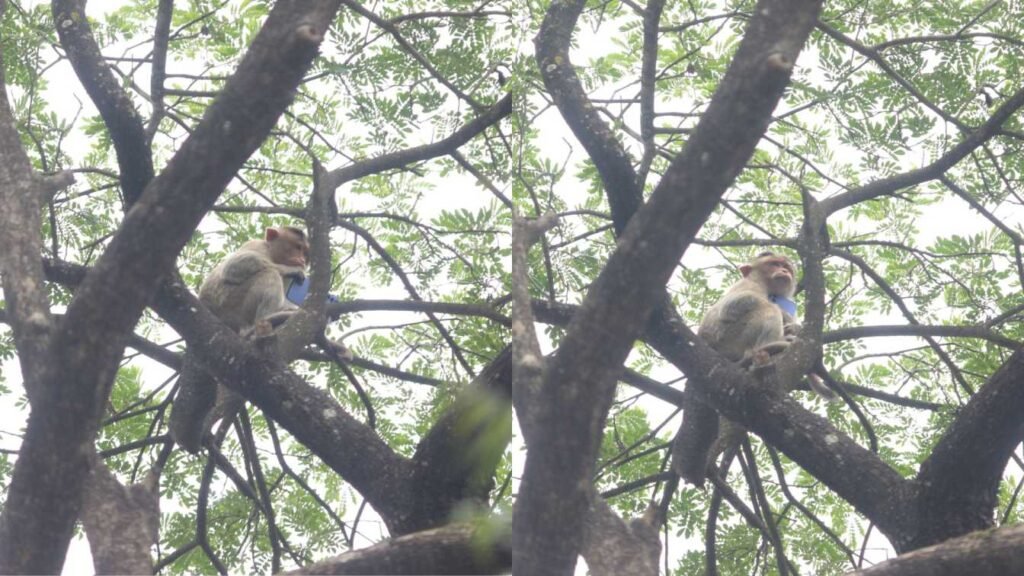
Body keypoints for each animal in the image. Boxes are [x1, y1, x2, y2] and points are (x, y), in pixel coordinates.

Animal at [170, 226, 351, 453]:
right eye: (297, 247)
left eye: (305, 252)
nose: (301, 259)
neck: (272, 252)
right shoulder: (256, 245)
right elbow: (235, 267)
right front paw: (290, 269)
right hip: (230, 301)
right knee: (267, 274)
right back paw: (266, 319)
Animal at [672, 252, 835, 484]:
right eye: (774, 264)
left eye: (786, 266)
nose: (783, 271)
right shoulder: (748, 285)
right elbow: (735, 305)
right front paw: (785, 318)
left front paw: (793, 326)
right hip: (731, 336)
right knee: (766, 309)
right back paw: (770, 344)